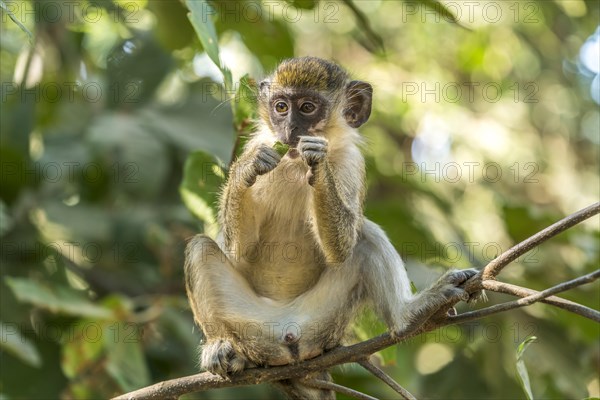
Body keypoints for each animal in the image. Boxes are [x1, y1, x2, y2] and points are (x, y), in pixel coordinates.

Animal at [185, 57, 476, 398]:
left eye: (308, 107)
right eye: (281, 107)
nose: (290, 130)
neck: (294, 164)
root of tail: (287, 337)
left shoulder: (351, 161)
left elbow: (342, 247)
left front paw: (319, 162)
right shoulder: (258, 143)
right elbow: (237, 249)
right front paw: (248, 167)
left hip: (323, 322)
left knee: (365, 235)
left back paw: (408, 315)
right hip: (249, 326)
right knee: (200, 248)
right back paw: (223, 349)